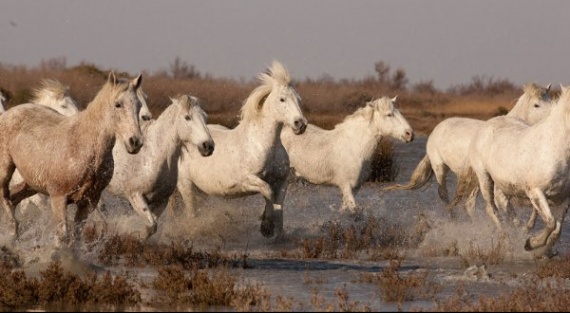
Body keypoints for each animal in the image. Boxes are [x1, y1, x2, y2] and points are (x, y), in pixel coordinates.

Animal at [0, 72, 144, 247]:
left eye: (138, 105)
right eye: (118, 104)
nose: (135, 142)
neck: (83, 146)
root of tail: (7, 114)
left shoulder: (89, 202)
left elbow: (77, 237)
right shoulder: (58, 198)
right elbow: (62, 237)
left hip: (31, 183)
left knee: (13, 198)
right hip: (5, 171)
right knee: (5, 199)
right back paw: (12, 232)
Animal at [102, 94, 213, 238]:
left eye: (205, 117)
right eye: (187, 117)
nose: (208, 146)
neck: (152, 155)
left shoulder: (161, 200)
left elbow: (152, 225)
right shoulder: (135, 195)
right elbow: (151, 226)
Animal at [173, 59, 306, 238]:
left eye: (298, 99)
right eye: (282, 99)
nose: (300, 124)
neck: (263, 144)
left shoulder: (281, 181)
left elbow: (279, 206)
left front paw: (275, 231)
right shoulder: (246, 180)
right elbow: (268, 192)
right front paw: (266, 226)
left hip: (200, 189)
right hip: (186, 185)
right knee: (191, 213)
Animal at [382, 83, 552, 219]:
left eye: (550, 100)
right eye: (536, 105)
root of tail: (438, 128)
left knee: (467, 204)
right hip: (440, 167)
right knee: (445, 195)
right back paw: (453, 220)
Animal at [452, 84, 570, 252]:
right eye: (536, 105)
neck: (553, 148)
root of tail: (485, 126)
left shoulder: (564, 198)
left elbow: (556, 231)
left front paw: (541, 249)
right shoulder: (535, 192)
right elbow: (550, 222)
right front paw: (530, 244)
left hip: (502, 184)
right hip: (485, 178)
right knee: (492, 209)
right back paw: (507, 243)